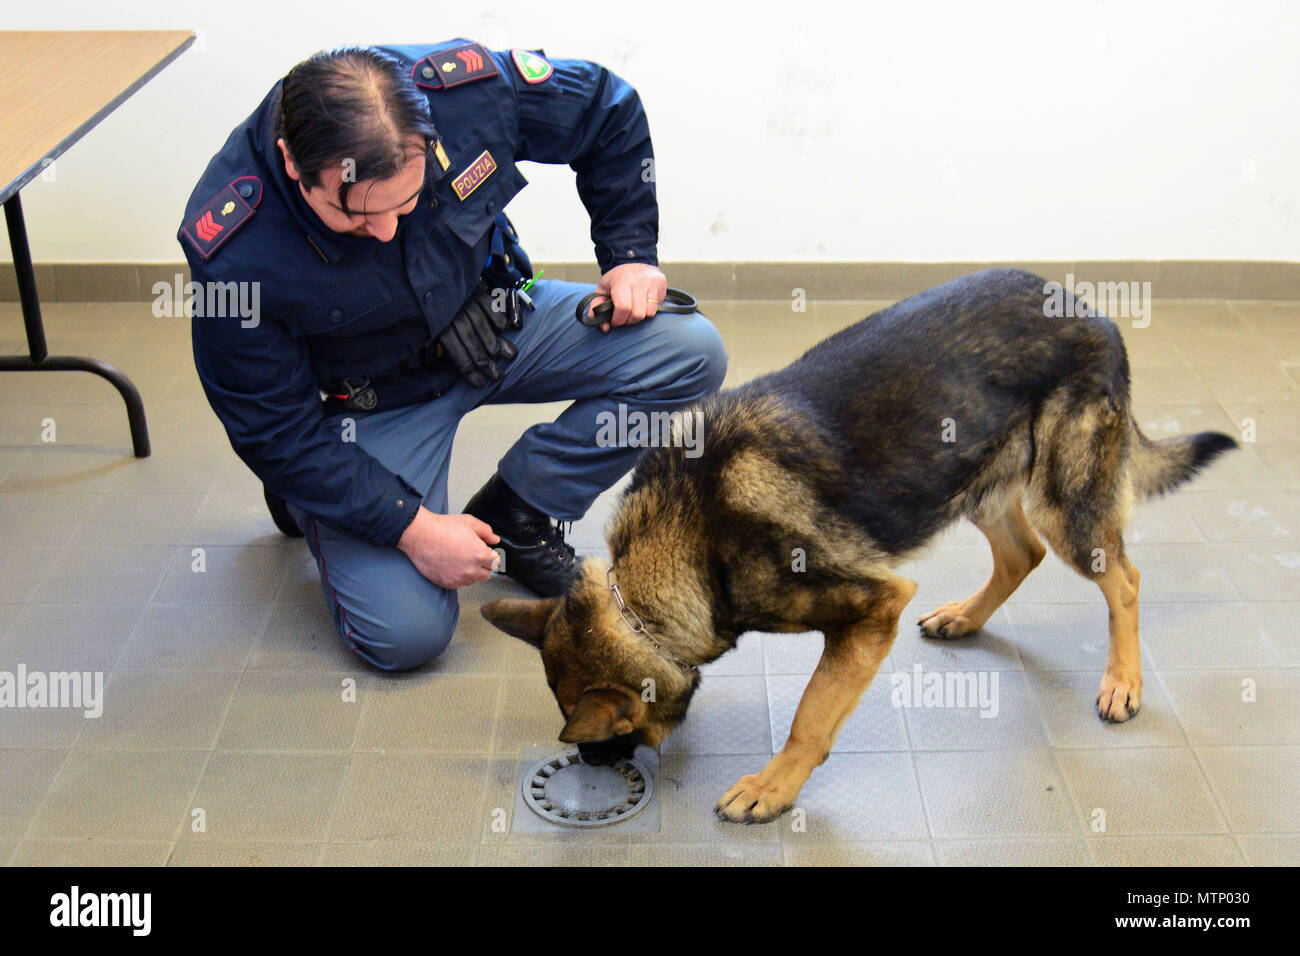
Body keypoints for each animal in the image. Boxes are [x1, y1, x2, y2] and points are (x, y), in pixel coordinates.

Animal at [483, 269, 1232, 822]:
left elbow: (811, 715)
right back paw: (966, 617)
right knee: (1022, 555)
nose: (592, 768)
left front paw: (774, 786)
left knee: (1123, 580)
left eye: (610, 735)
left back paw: (1123, 682)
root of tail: (1092, 312)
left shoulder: (873, 607)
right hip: (970, 483)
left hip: (1063, 503)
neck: (688, 543)